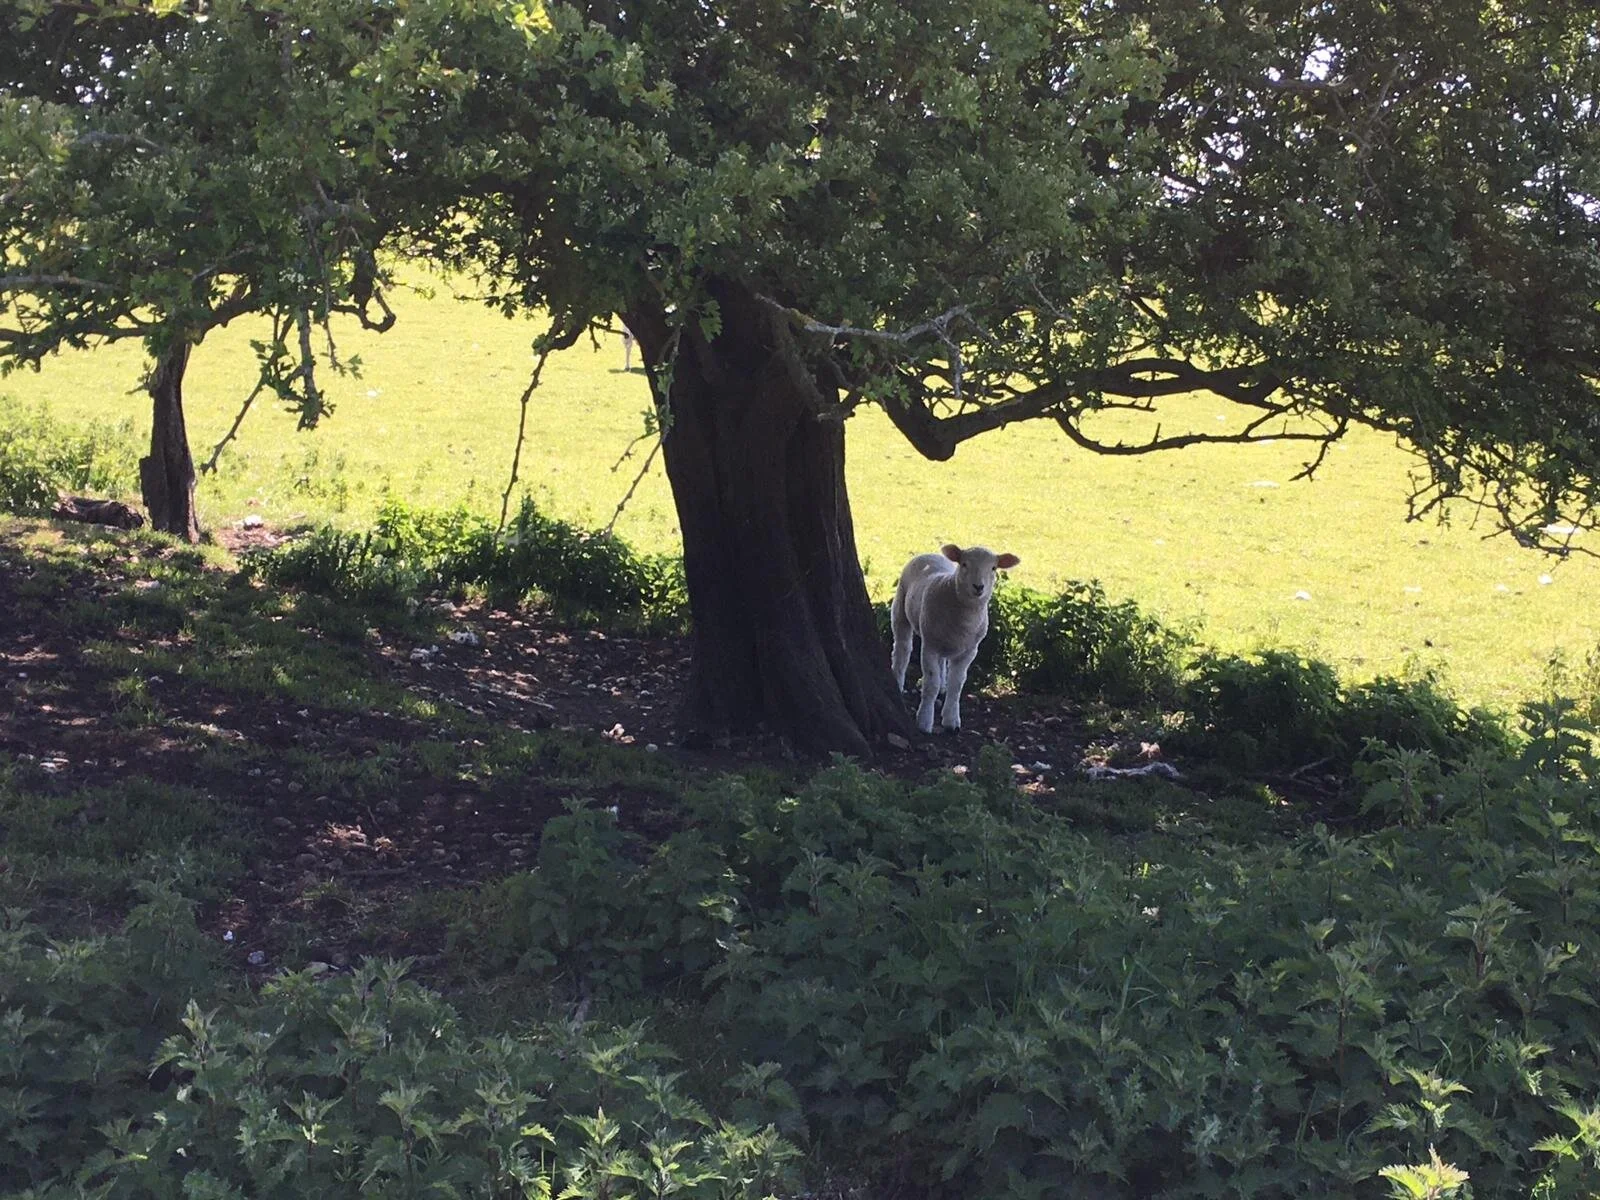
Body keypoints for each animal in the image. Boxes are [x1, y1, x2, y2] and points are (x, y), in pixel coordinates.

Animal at [890, 543, 1019, 734]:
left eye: (994, 568)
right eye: (964, 564)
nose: (978, 587)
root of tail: (928, 554)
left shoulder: (969, 651)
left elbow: (957, 684)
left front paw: (951, 720)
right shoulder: (929, 647)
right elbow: (931, 684)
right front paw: (924, 721)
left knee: (942, 663)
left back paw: (943, 686)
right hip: (901, 608)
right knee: (902, 649)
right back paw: (898, 682)